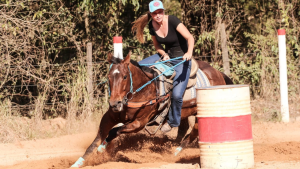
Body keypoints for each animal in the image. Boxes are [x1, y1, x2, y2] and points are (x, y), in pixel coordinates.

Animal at [69, 52, 232, 168]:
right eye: (108, 77)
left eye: (124, 77)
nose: (115, 103)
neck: (140, 92)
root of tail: (218, 73)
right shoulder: (109, 117)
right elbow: (95, 141)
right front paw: (78, 163)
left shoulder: (139, 123)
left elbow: (114, 131)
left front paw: (103, 148)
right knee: (185, 129)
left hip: (201, 112)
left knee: (194, 132)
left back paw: (175, 153)